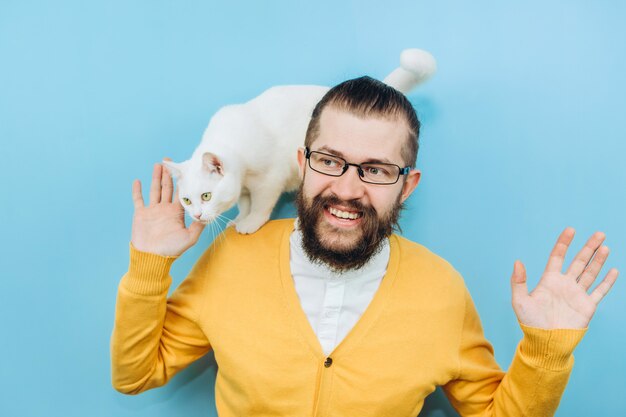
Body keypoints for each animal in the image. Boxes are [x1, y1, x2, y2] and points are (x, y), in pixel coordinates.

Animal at [162, 48, 434, 234]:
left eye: (206, 196)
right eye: (186, 200)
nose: (196, 215)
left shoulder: (269, 180)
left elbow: (260, 206)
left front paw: (250, 223)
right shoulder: (245, 187)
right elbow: (245, 203)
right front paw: (240, 219)